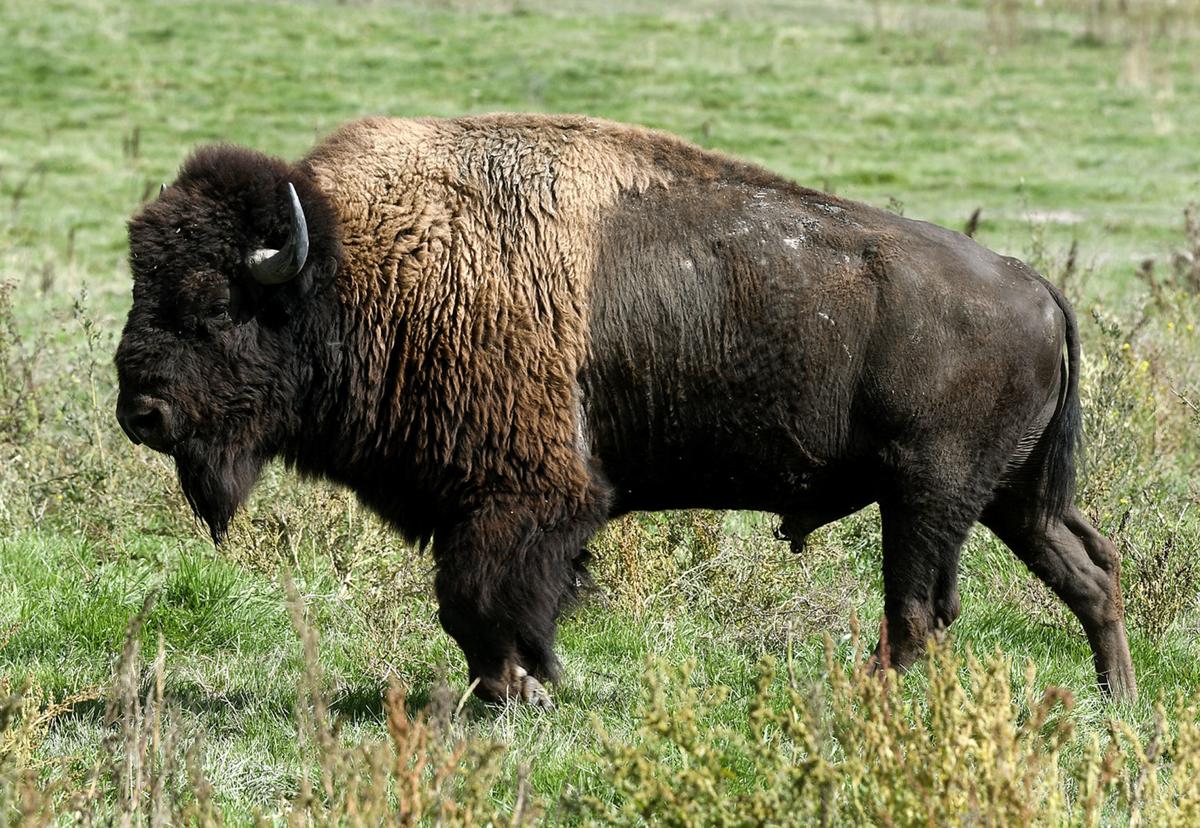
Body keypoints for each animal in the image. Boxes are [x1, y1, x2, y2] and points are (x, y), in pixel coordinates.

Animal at [115, 114, 1136, 706]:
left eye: (214, 300)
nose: (141, 411)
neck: (358, 266)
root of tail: (1037, 287)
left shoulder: (524, 501)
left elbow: (482, 601)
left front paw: (519, 691)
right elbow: (480, 608)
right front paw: (508, 690)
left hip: (930, 494)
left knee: (919, 609)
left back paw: (862, 702)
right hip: (1006, 497)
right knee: (1087, 569)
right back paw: (1115, 699)